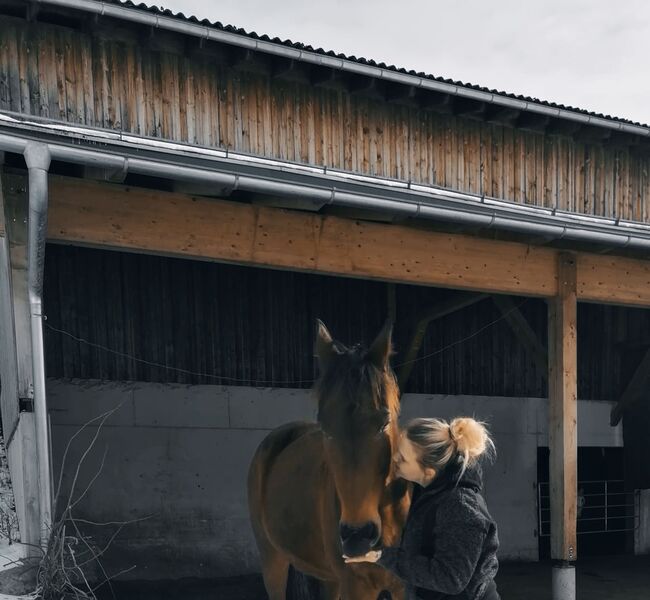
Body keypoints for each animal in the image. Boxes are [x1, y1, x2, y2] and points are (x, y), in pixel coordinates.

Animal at [248, 324, 410, 600]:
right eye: (325, 428)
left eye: (384, 423)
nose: (357, 536)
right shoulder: (356, 585)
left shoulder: (404, 586)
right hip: (272, 560)